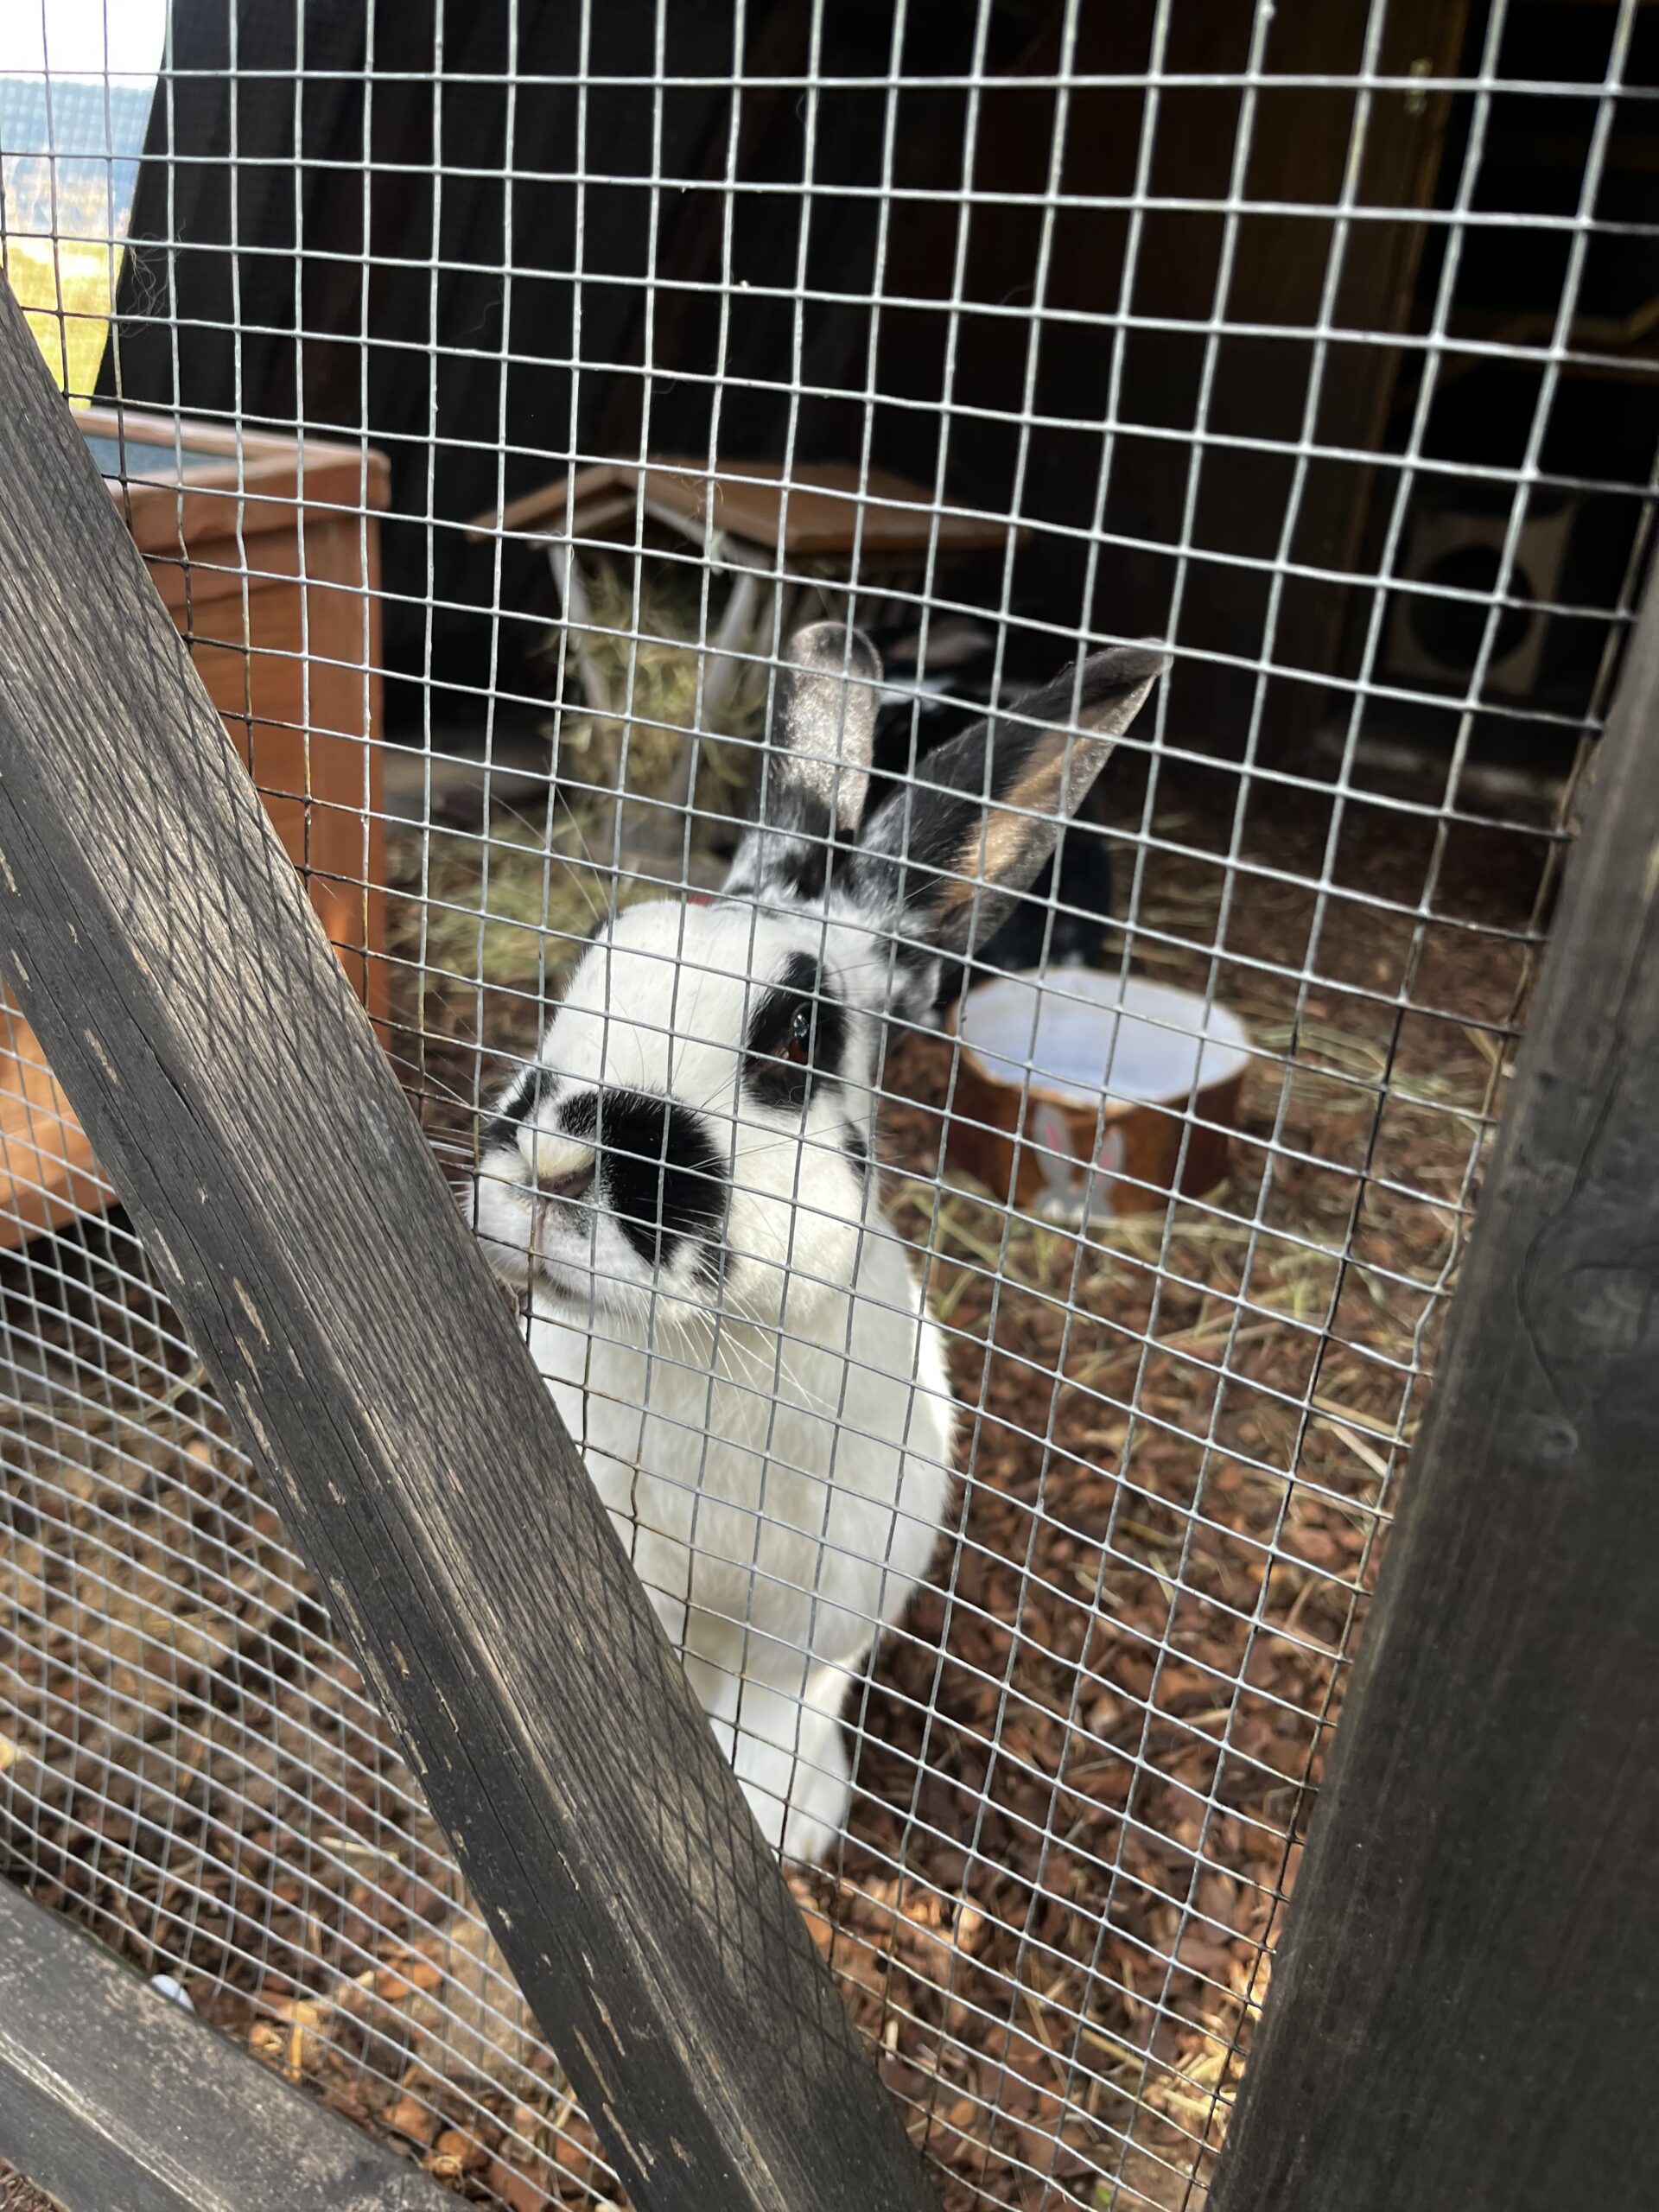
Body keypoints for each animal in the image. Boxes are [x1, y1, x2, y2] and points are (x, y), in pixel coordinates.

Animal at [471, 622, 1166, 1863]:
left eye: (795, 1036)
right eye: (593, 956)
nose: (550, 1166)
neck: (703, 1345)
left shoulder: (817, 1612)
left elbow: (777, 1708)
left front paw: (779, 1826)